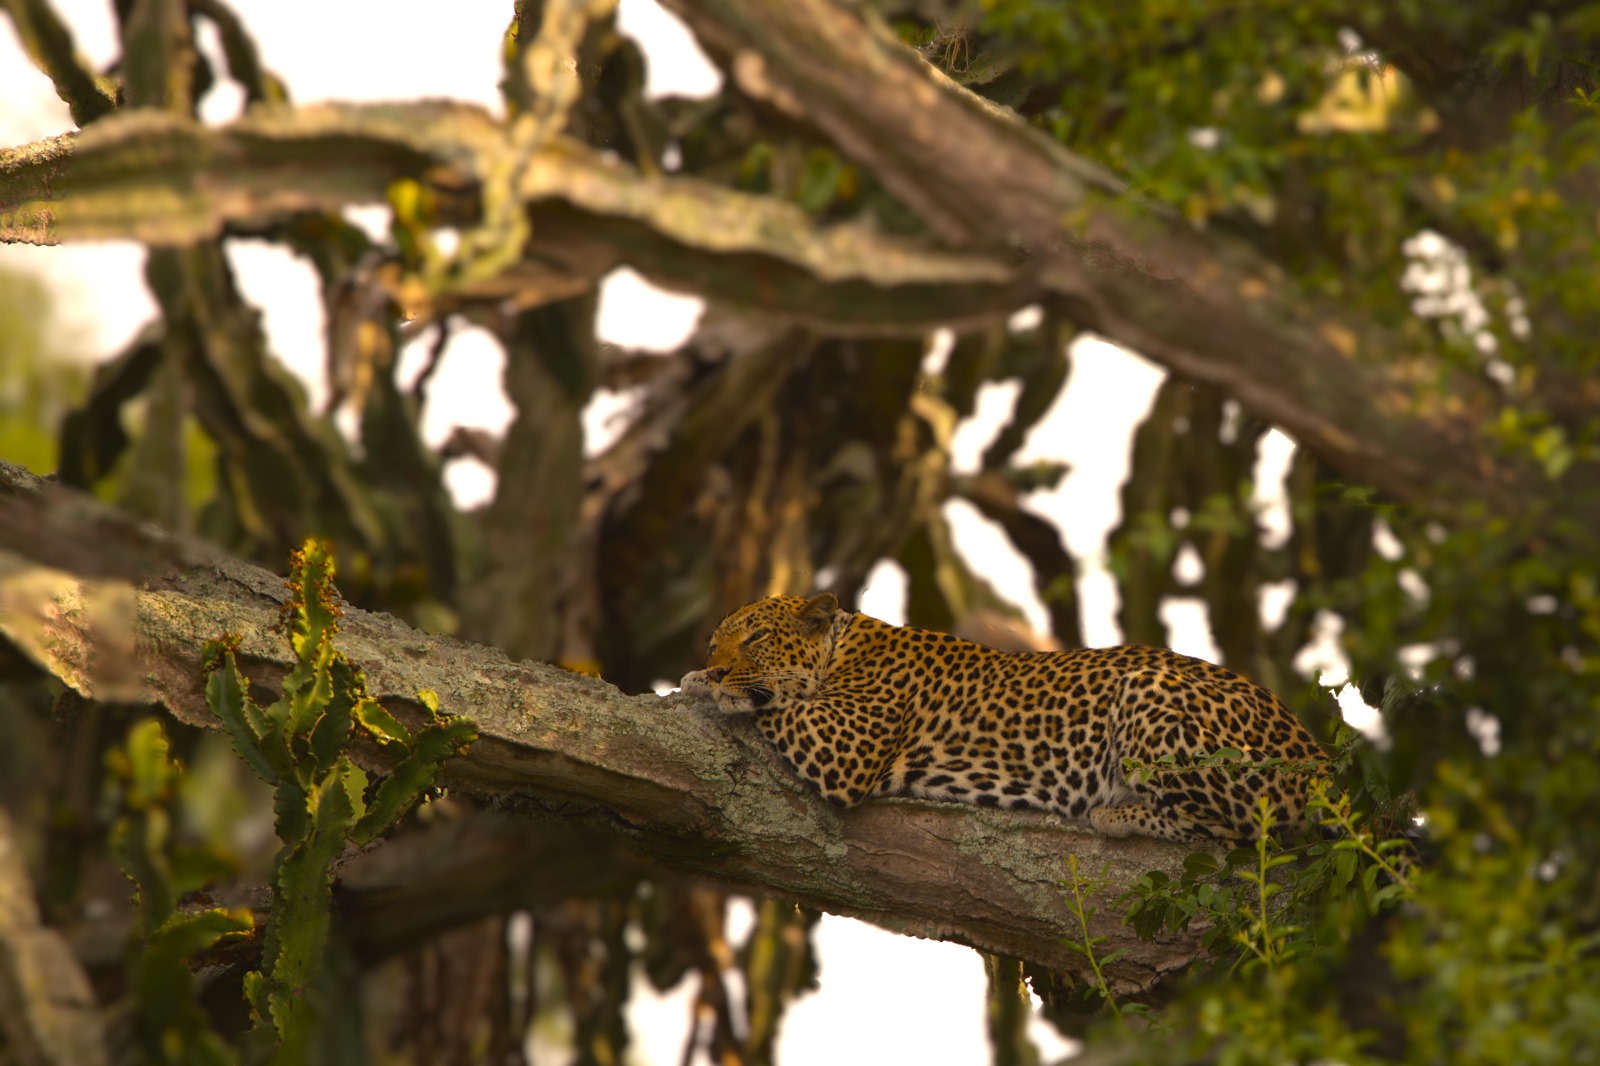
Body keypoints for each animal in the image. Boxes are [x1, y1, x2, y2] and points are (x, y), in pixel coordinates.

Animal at [680, 592, 1328, 844]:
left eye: (756, 637)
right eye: (715, 642)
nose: (713, 665)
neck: (844, 648)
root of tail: (1319, 757)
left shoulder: (845, 743)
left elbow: (779, 706)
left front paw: (707, 688)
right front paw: (699, 681)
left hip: (1150, 692)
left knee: (1236, 828)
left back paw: (1117, 812)